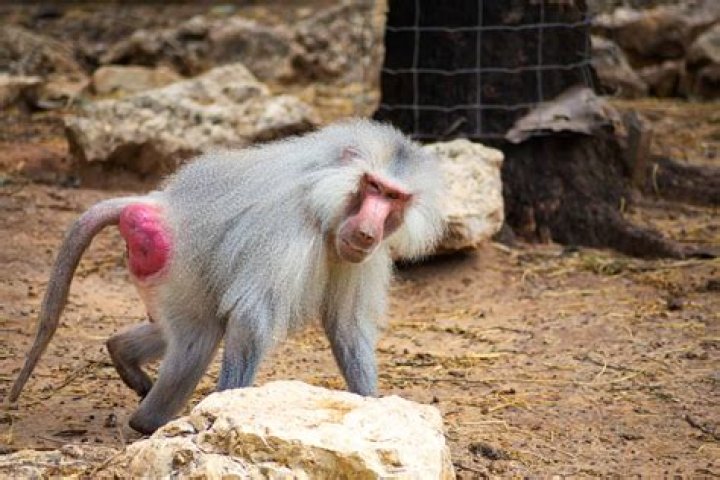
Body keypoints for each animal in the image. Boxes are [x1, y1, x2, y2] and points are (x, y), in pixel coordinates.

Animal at [8, 119, 445, 434]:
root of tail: (155, 204)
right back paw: (147, 423)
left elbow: (347, 327)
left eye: (394, 197)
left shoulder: (361, 257)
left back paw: (123, 354)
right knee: (198, 338)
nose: (369, 232)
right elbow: (252, 319)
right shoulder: (285, 227)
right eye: (372, 186)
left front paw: (373, 408)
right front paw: (226, 410)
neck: (325, 203)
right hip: (174, 262)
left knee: (195, 328)